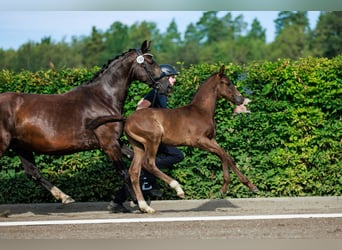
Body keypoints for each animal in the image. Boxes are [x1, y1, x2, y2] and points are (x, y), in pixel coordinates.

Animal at [0, 40, 170, 204]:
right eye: (150, 62)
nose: (167, 86)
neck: (103, 98)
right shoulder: (109, 144)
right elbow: (123, 172)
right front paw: (136, 201)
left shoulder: (114, 141)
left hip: (21, 145)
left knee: (33, 173)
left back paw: (65, 197)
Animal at [124, 65, 258, 213]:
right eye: (228, 83)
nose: (241, 99)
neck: (201, 111)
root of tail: (127, 120)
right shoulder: (198, 141)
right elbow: (222, 154)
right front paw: (224, 188)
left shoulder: (211, 139)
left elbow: (227, 156)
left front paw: (251, 185)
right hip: (153, 140)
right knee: (149, 163)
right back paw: (178, 189)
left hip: (139, 146)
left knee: (134, 171)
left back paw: (145, 206)